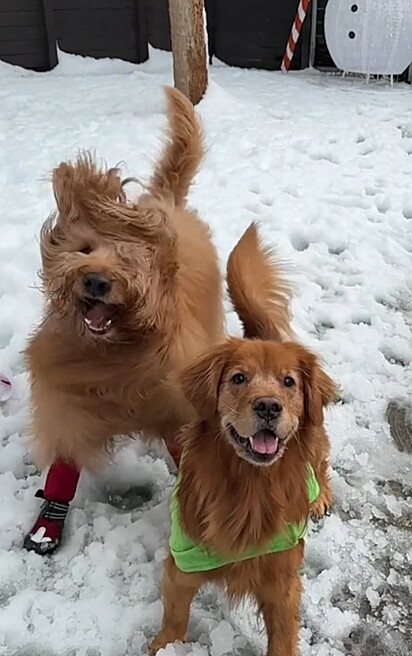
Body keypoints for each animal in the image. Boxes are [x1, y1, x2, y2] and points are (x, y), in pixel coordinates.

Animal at [23, 84, 225, 552]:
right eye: (84, 249)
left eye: (129, 257)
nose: (95, 281)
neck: (114, 352)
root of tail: (164, 201)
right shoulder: (70, 401)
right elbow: (63, 468)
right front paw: (46, 527)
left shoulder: (175, 406)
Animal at [150, 224, 336, 656]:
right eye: (238, 378)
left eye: (288, 382)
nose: (268, 406)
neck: (249, 488)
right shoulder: (184, 561)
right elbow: (174, 619)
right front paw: (163, 646)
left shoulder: (282, 580)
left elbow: (282, 637)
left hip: (316, 439)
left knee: (320, 464)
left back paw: (319, 496)